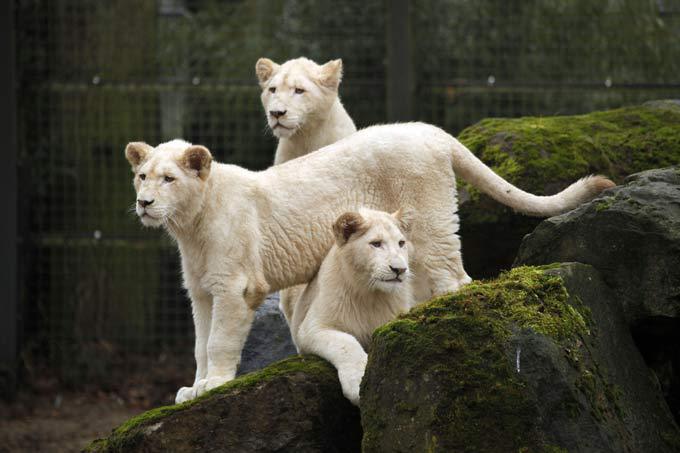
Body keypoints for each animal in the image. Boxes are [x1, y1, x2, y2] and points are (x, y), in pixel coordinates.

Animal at [290, 208, 414, 405]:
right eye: (376, 244)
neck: (371, 295)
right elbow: (346, 343)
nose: (400, 270)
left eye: (401, 243)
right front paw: (358, 383)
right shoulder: (312, 327)